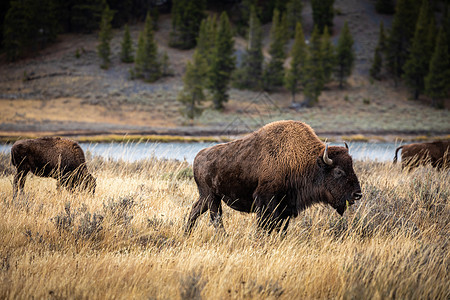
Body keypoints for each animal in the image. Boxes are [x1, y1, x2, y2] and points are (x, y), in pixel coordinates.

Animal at [185, 120, 364, 234]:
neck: (305, 161)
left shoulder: (287, 207)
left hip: (206, 197)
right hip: (212, 197)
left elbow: (280, 228)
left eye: (351, 167)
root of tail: (198, 157)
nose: (357, 194)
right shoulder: (266, 202)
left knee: (195, 210)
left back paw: (186, 233)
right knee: (216, 218)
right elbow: (264, 226)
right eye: (338, 171)